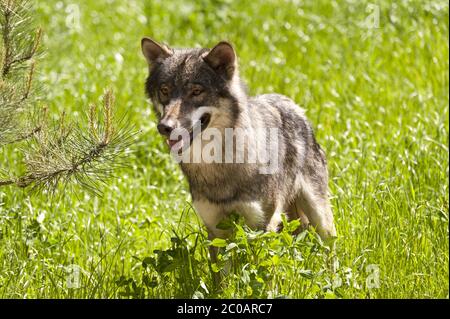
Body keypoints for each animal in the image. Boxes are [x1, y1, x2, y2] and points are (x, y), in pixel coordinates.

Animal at [142, 37, 338, 251]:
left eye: (196, 91)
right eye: (164, 90)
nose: (164, 127)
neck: (215, 165)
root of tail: (292, 105)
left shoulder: (261, 227)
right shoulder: (215, 230)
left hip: (321, 220)